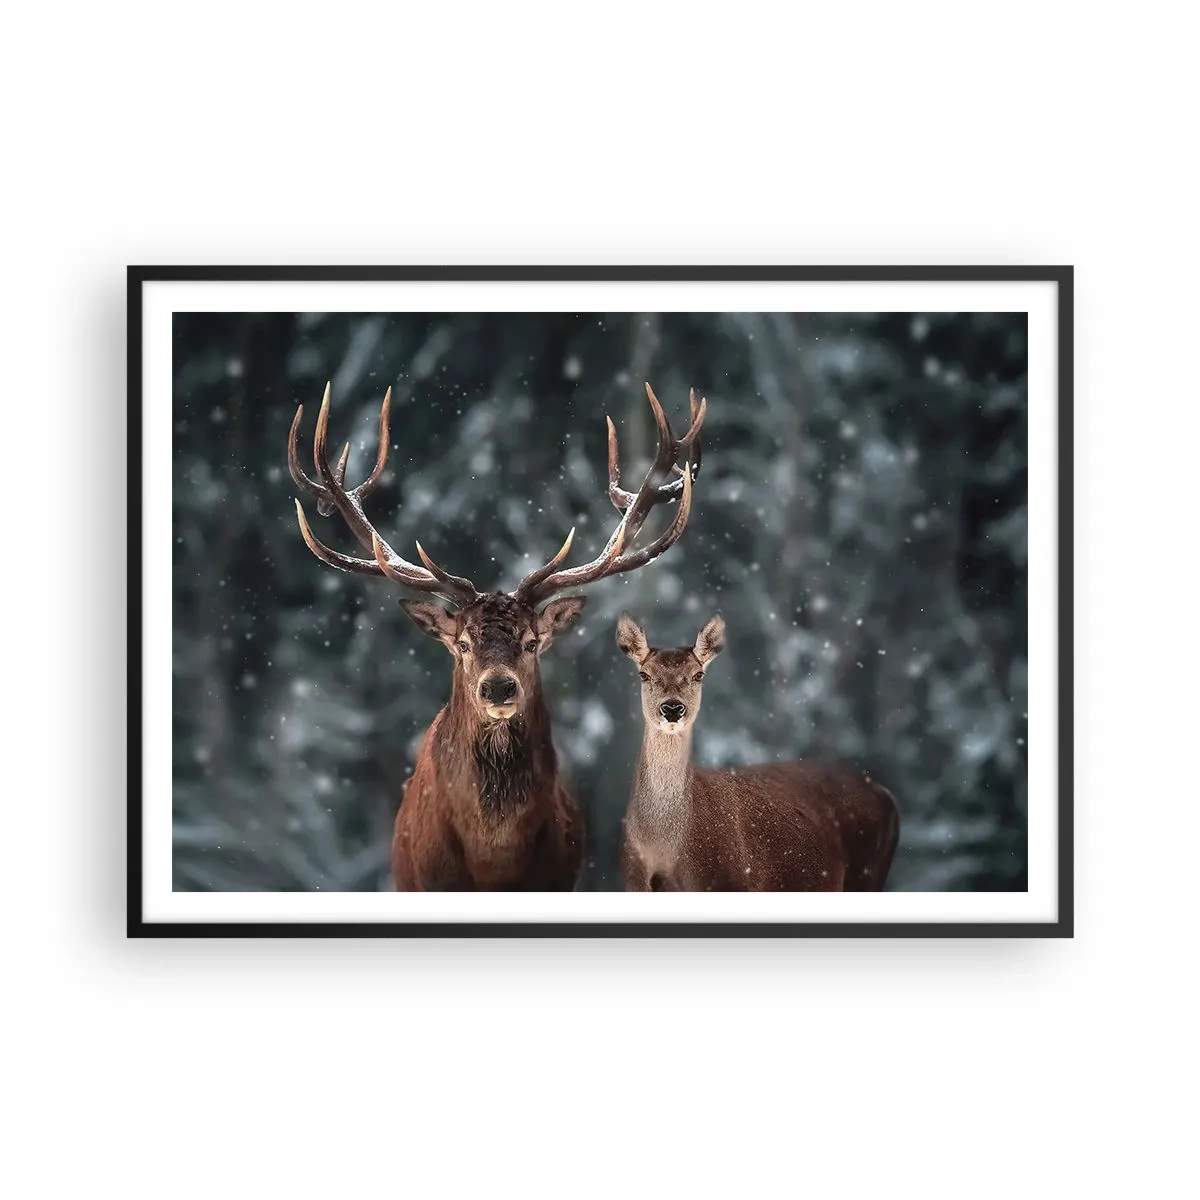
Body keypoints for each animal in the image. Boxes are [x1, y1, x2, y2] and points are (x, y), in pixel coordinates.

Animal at [616, 613, 899, 892]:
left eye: (698, 675)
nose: (672, 708)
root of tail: (886, 793)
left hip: (866, 874)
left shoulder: (729, 881)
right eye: (644, 674)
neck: (664, 848)